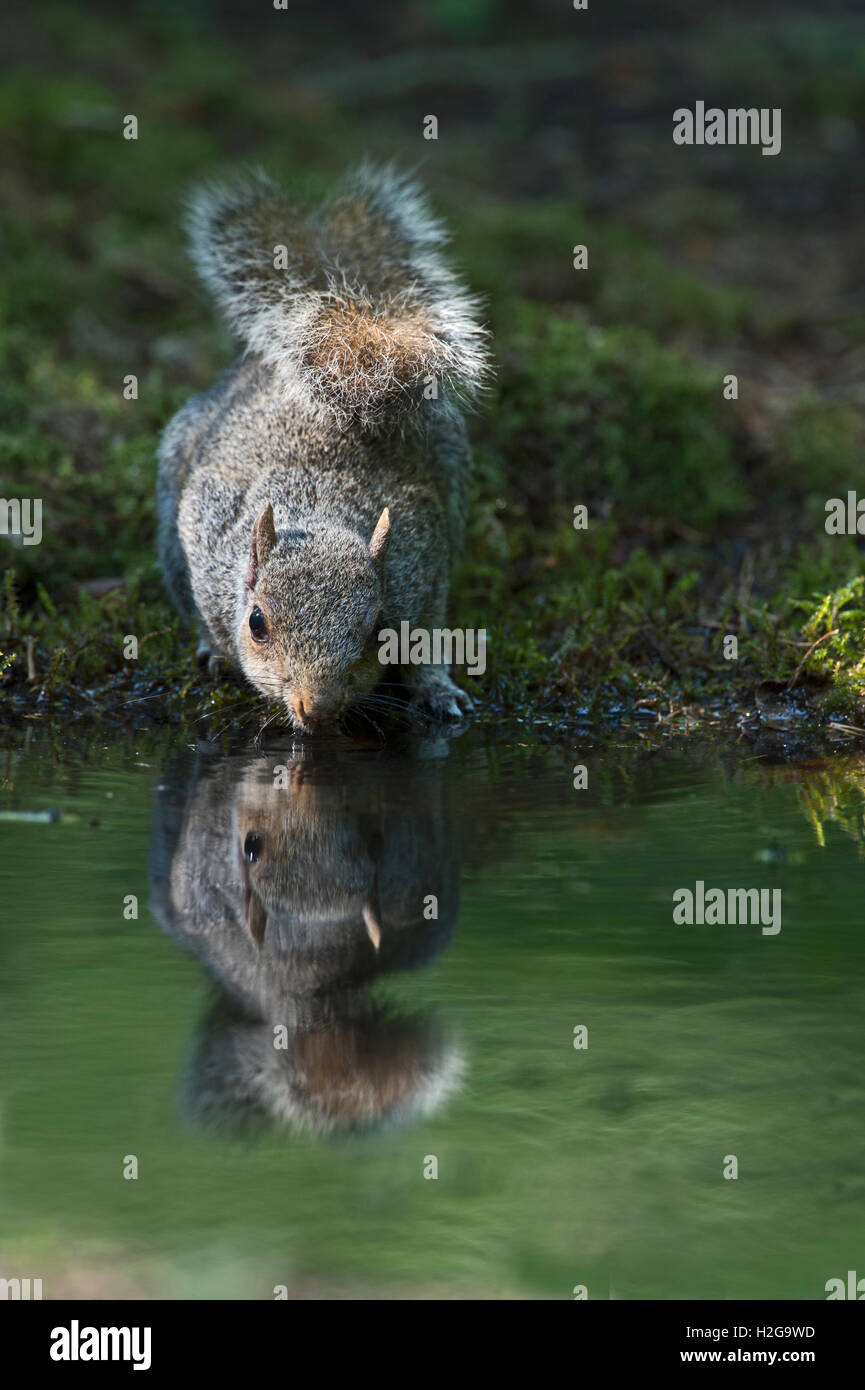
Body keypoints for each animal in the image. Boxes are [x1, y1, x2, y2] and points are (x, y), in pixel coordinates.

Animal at [156, 162, 492, 733]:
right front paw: (217, 649)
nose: (319, 709)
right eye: (256, 622)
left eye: (380, 629)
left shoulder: (423, 554)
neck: (321, 512)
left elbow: (427, 634)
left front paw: (436, 688)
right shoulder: (206, 528)